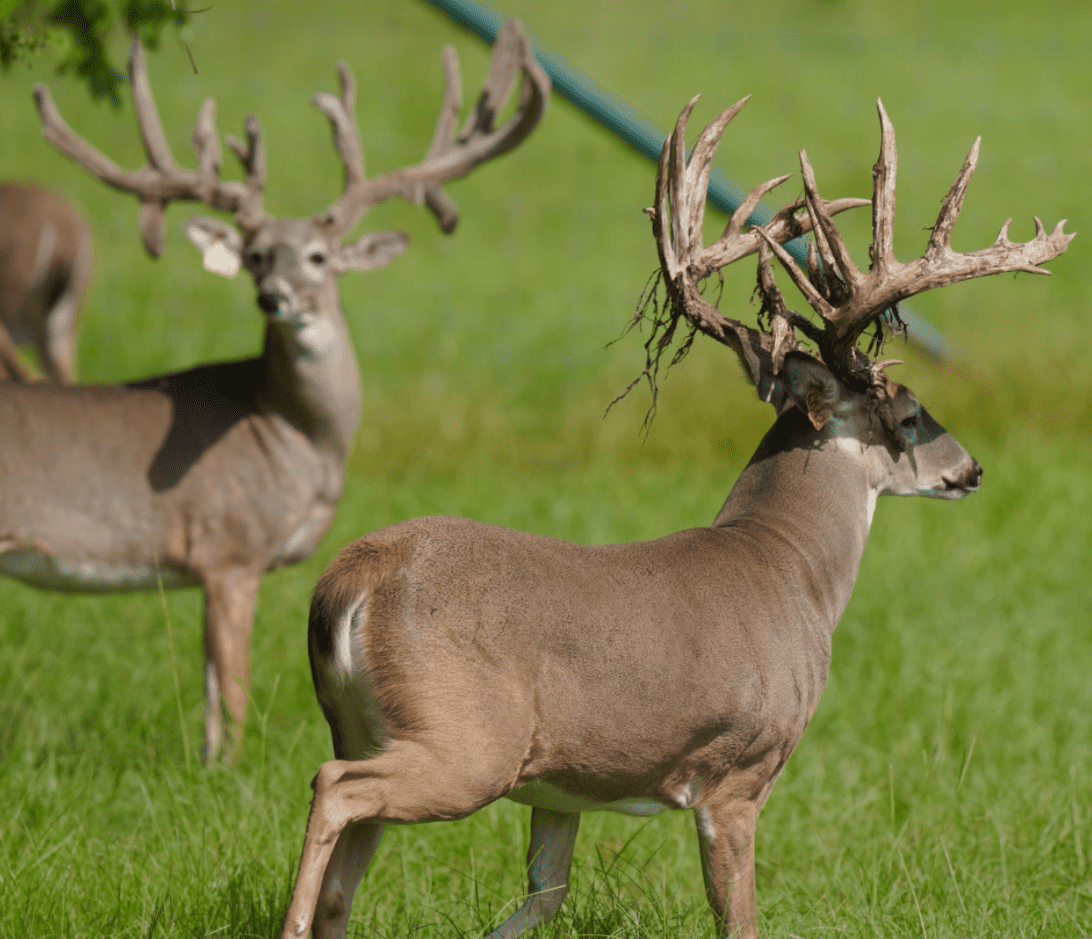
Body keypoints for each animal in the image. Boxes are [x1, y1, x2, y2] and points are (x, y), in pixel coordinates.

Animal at [280, 95, 1072, 939]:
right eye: (912, 414)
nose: (972, 468)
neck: (789, 570)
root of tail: (349, 583)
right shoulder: (739, 773)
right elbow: (739, 917)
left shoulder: (564, 784)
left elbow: (544, 893)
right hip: (466, 743)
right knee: (333, 786)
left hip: (380, 725)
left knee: (344, 876)